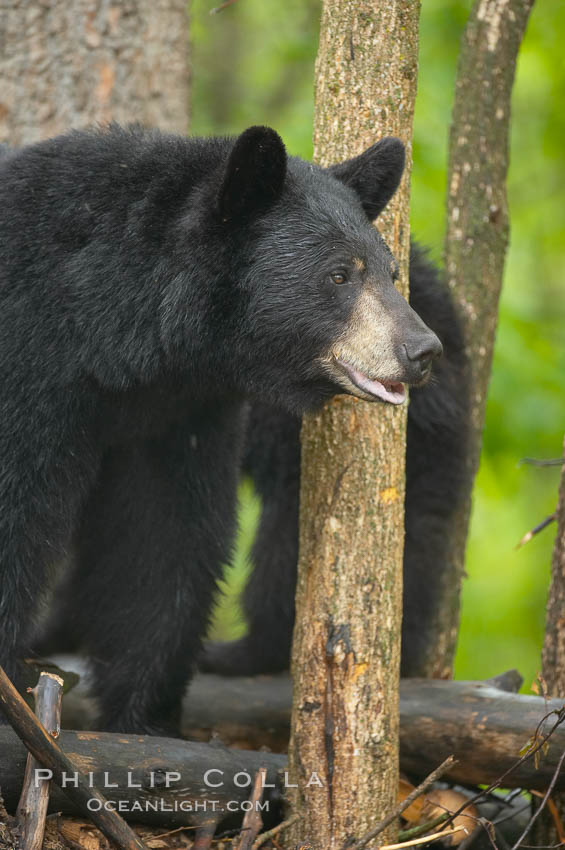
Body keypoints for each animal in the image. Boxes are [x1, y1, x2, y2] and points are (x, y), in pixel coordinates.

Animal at [1, 122, 440, 732]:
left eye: (391, 273)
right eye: (339, 274)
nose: (422, 350)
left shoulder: (175, 411)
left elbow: (162, 532)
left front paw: (144, 715)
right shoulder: (29, 372)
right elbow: (17, 509)